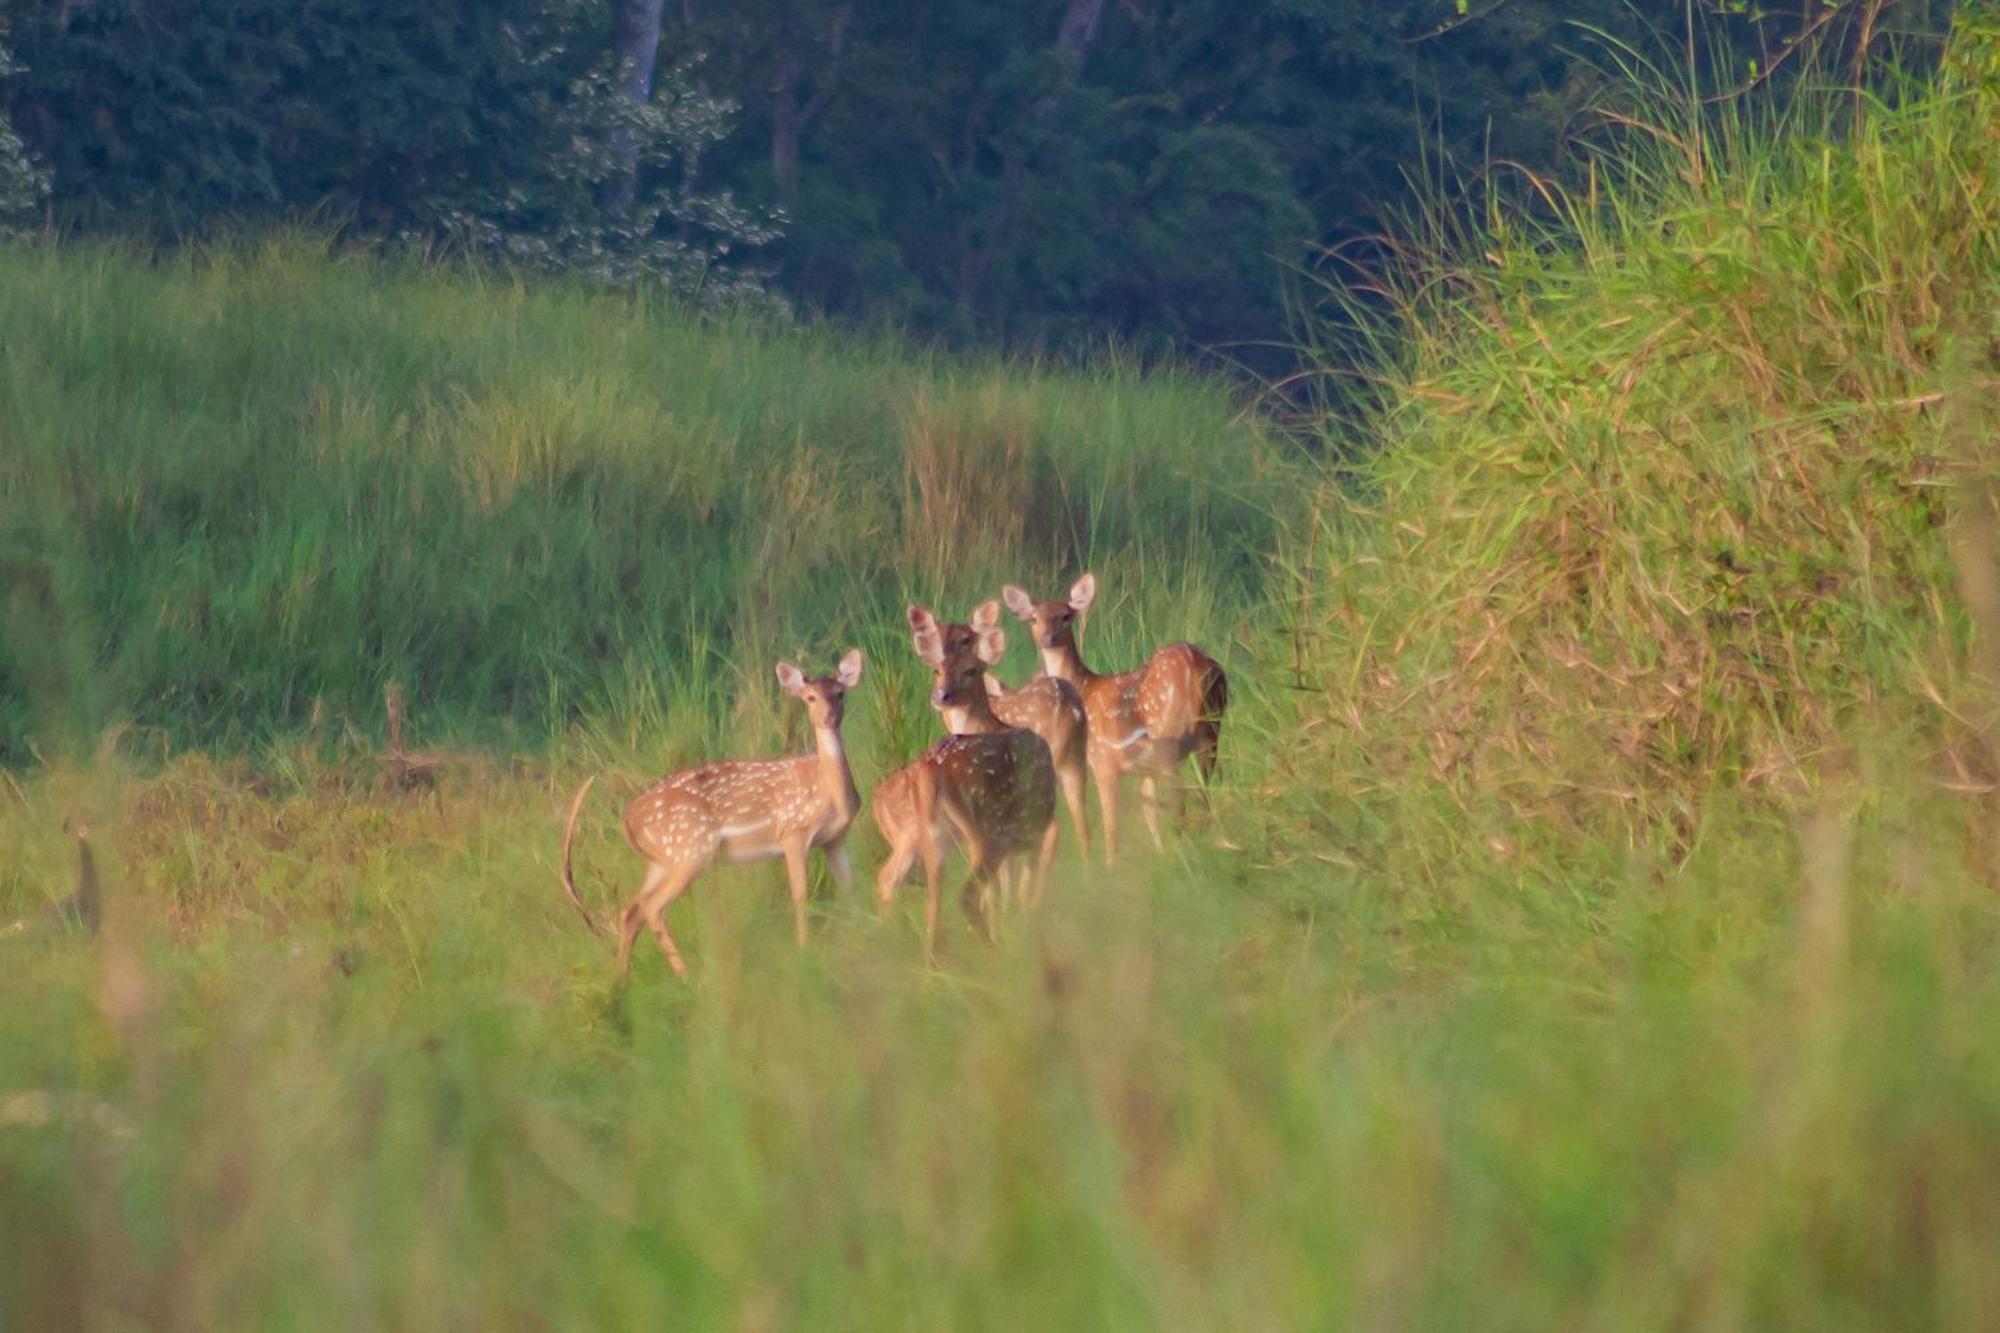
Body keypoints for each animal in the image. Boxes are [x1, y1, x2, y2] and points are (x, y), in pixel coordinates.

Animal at [560, 652, 864, 976]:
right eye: (809, 698)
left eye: (840, 693)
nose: (830, 718)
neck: (830, 792)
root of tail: (628, 819)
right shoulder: (793, 831)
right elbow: (800, 895)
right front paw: (804, 951)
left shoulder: (835, 838)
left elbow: (849, 887)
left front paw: (863, 936)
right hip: (690, 850)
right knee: (653, 907)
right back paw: (685, 975)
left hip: (661, 859)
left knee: (631, 910)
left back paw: (622, 978)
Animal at [876, 608, 1064, 960]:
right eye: (937, 670)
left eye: (970, 669)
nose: (942, 695)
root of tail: (930, 771)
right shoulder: (1034, 830)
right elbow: (1020, 889)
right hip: (985, 832)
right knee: (966, 895)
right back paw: (993, 953)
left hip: (936, 839)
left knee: (930, 903)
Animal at [996, 572, 1216, 860]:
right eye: (1034, 618)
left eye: (1066, 615)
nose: (1047, 638)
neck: (1084, 688)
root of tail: (1195, 666)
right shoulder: (1144, 769)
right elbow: (1150, 816)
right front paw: (1159, 854)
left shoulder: (1102, 759)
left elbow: (1112, 831)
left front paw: (1112, 865)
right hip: (1211, 732)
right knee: (1205, 795)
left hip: (1167, 735)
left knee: (1179, 800)